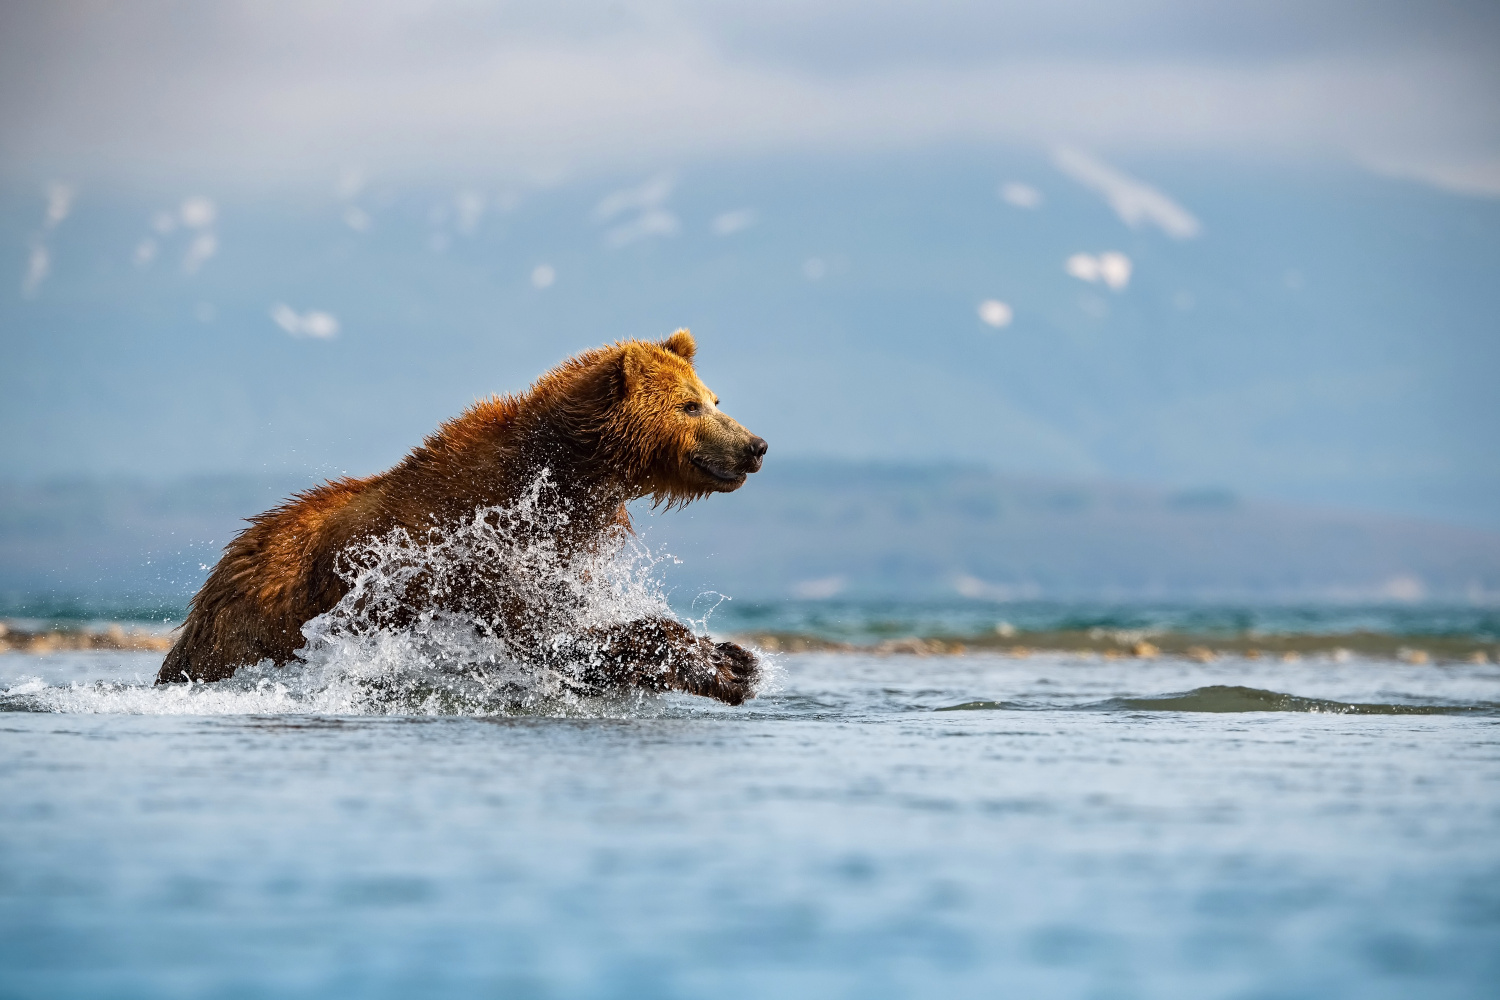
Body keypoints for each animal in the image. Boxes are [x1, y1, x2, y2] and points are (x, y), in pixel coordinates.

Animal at [158, 329, 768, 704]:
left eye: (714, 399)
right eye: (689, 405)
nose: (755, 446)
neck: (562, 475)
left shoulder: (562, 539)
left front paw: (735, 657)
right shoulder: (473, 543)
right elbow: (546, 629)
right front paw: (720, 664)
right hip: (259, 622)